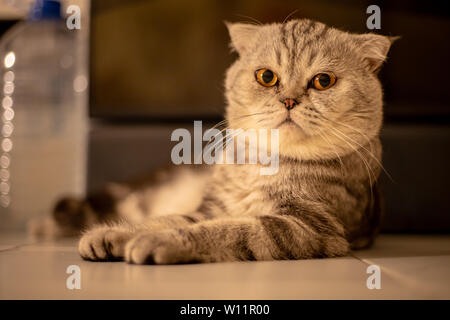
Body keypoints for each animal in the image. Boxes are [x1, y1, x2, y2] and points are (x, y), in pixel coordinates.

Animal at [30, 18, 394, 264]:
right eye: (267, 76)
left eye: (323, 81)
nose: (289, 100)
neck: (261, 166)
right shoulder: (210, 208)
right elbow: (168, 220)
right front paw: (117, 233)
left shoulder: (306, 227)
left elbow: (224, 230)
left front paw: (156, 242)